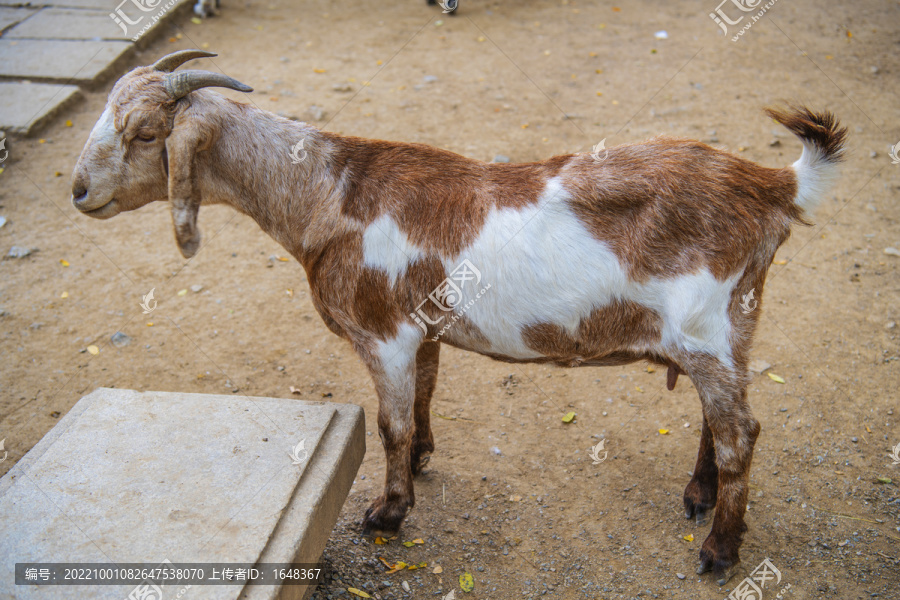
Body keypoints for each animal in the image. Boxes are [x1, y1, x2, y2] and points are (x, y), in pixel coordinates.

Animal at [72, 51, 844, 584]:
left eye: (145, 132)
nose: (78, 191)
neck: (324, 189)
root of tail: (773, 186)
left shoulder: (381, 332)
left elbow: (388, 421)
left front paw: (388, 512)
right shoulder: (422, 329)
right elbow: (424, 396)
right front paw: (420, 460)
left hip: (709, 329)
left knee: (741, 432)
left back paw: (719, 548)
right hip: (728, 330)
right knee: (721, 420)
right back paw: (699, 493)